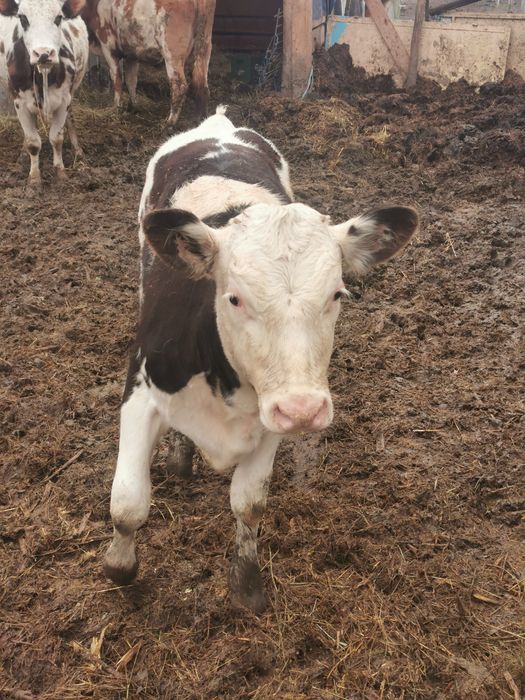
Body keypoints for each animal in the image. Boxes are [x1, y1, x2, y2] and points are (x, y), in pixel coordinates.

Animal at [0, 0, 88, 188]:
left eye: (59, 17)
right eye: (22, 18)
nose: (43, 53)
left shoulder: (64, 100)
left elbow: (56, 137)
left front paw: (60, 174)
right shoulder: (19, 102)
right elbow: (33, 142)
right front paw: (34, 179)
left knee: (70, 119)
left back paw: (78, 151)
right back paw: (22, 157)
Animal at [81, 0, 216, 124]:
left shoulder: (108, 47)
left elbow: (117, 79)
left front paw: (116, 108)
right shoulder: (132, 54)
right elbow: (131, 80)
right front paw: (133, 105)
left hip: (171, 53)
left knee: (179, 86)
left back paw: (170, 122)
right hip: (204, 47)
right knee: (202, 85)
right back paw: (200, 118)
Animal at [103, 107, 419, 613]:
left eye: (337, 294)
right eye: (234, 298)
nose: (305, 410)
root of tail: (217, 123)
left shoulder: (273, 414)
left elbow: (249, 503)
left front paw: (247, 583)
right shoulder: (141, 391)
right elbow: (128, 501)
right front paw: (119, 566)